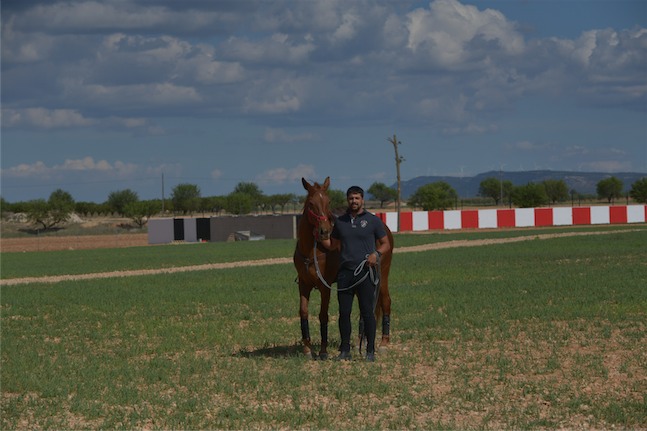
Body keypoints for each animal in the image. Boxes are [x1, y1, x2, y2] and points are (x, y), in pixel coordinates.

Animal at [294, 177, 394, 360]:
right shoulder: (303, 285)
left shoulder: (324, 286)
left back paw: (383, 343)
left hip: (382, 275)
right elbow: (303, 313)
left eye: (328, 201)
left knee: (385, 302)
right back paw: (359, 341)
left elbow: (323, 315)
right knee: (365, 309)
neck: (311, 251)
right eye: (311, 203)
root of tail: (385, 229)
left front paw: (323, 351)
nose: (325, 231)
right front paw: (307, 349)